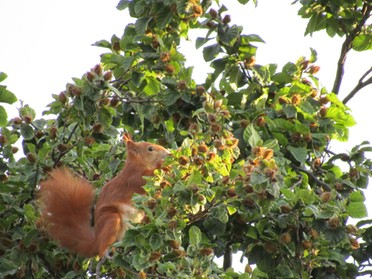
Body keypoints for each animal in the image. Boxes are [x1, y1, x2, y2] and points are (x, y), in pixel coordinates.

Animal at [38, 135, 170, 258]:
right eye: (150, 149)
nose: (168, 153)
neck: (138, 162)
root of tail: (97, 239)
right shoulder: (132, 176)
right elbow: (146, 179)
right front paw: (165, 166)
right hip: (110, 218)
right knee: (103, 245)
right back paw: (105, 251)